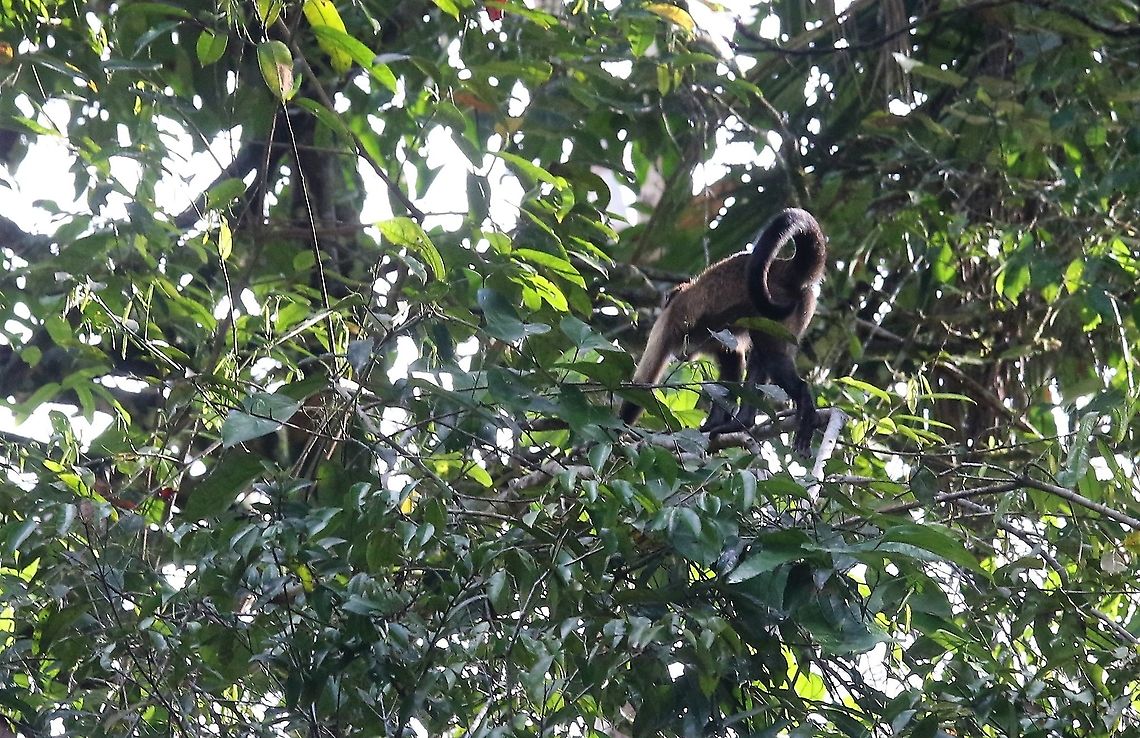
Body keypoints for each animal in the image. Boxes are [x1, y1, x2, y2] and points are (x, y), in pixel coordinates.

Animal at [618, 208, 827, 456]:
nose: (682, 355)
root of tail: (784, 268)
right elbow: (732, 363)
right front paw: (714, 423)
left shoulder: (667, 324)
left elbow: (642, 384)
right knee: (761, 356)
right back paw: (742, 422)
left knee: (771, 356)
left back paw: (803, 400)